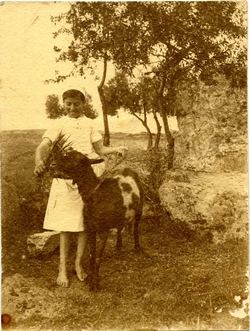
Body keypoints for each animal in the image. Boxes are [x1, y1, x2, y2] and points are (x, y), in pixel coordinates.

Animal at [54, 148, 143, 290]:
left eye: (76, 159)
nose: (55, 160)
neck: (95, 194)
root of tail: (128, 168)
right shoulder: (90, 228)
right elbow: (92, 254)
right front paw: (91, 278)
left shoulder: (103, 230)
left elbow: (98, 255)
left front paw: (95, 282)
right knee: (120, 227)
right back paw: (118, 245)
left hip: (140, 206)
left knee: (135, 227)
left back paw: (137, 246)